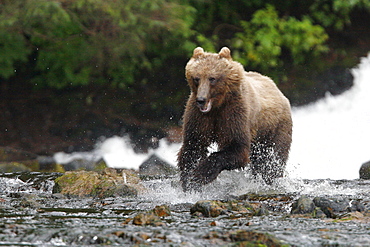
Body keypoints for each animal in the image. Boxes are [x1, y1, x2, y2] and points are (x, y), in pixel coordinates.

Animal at [178, 47, 294, 192]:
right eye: (196, 78)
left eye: (212, 78)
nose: (201, 100)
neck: (217, 106)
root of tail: (277, 89)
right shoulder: (199, 117)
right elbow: (193, 146)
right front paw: (189, 180)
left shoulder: (234, 113)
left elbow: (237, 148)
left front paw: (201, 173)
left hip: (274, 127)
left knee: (271, 160)